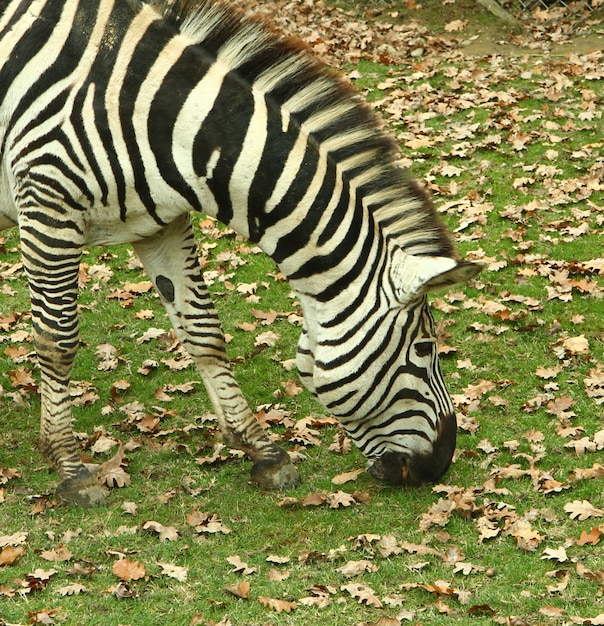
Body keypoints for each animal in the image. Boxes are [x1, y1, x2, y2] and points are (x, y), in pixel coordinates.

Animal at [0, 0, 482, 504]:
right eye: (425, 348)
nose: (442, 463)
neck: (163, 117)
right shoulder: (48, 204)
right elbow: (56, 340)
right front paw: (70, 468)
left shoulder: (159, 224)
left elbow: (203, 332)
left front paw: (262, 451)